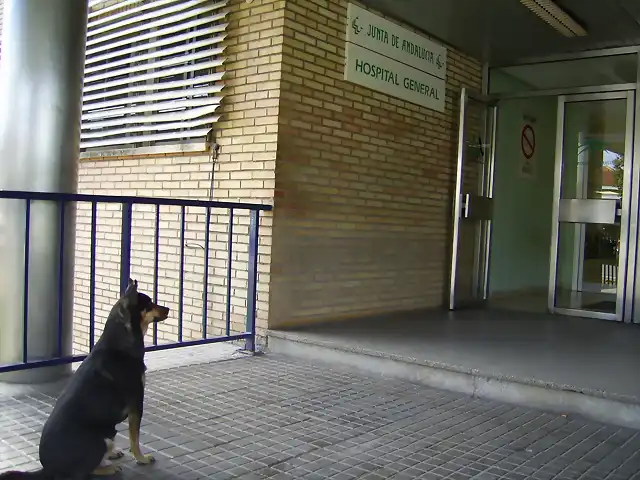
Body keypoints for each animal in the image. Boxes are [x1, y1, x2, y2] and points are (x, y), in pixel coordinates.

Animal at [0, 280, 169, 478]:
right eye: (149, 304)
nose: (168, 308)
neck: (121, 339)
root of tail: (47, 469)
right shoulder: (136, 404)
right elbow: (134, 438)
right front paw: (141, 458)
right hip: (98, 440)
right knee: (84, 471)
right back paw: (108, 468)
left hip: (107, 433)